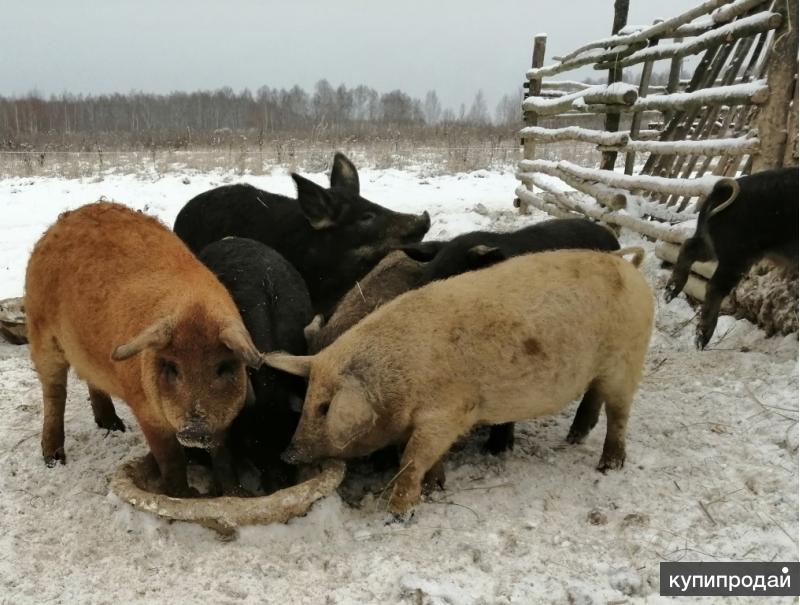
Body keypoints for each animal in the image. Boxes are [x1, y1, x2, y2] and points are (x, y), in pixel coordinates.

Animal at [266, 248, 652, 516]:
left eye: (325, 408)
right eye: (307, 400)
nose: (287, 453)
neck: (397, 379)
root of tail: (631, 269)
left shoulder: (448, 413)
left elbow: (412, 459)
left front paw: (397, 513)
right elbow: (424, 456)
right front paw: (436, 485)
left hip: (628, 360)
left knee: (619, 413)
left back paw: (608, 466)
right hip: (603, 369)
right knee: (594, 396)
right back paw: (574, 437)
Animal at [664, 166, 800, 350]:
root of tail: (721, 190)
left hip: (712, 243)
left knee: (688, 246)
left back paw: (669, 295)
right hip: (737, 253)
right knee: (714, 286)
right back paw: (701, 341)